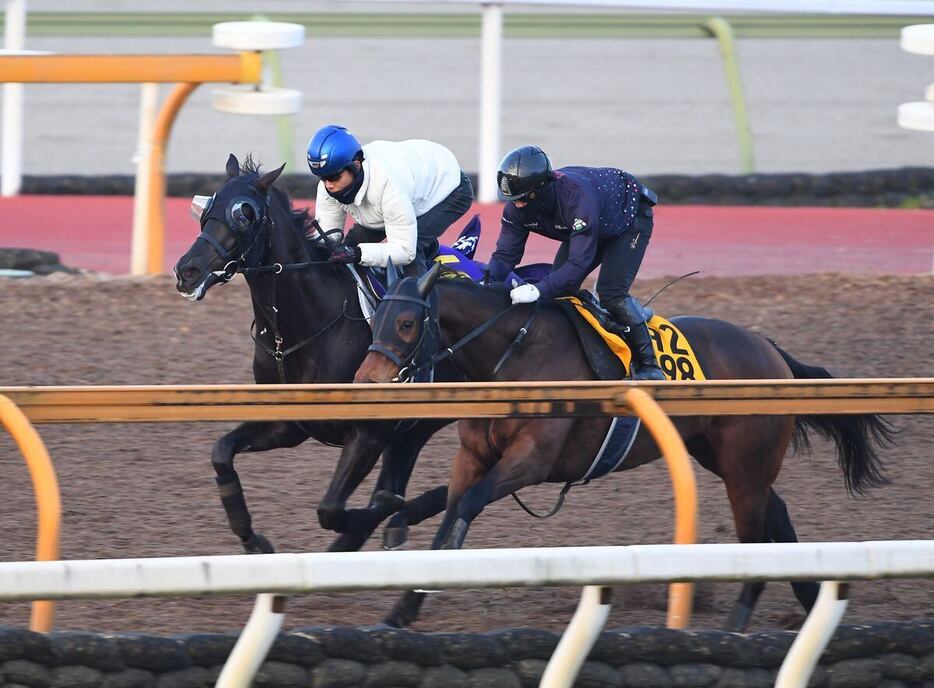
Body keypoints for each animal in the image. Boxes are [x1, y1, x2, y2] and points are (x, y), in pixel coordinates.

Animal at [177, 155, 456, 552]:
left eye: (245, 214)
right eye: (207, 208)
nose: (187, 270)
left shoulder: (370, 433)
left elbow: (335, 510)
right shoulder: (287, 426)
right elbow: (221, 453)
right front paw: (253, 539)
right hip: (416, 429)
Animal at [354, 266, 896, 632]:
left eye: (407, 323)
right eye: (374, 318)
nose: (365, 382)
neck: (516, 356)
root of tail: (769, 348)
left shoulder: (532, 460)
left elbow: (463, 508)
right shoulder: (473, 456)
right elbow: (447, 509)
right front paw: (401, 607)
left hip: (746, 464)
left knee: (754, 535)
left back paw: (739, 622)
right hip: (720, 455)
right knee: (775, 514)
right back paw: (809, 597)